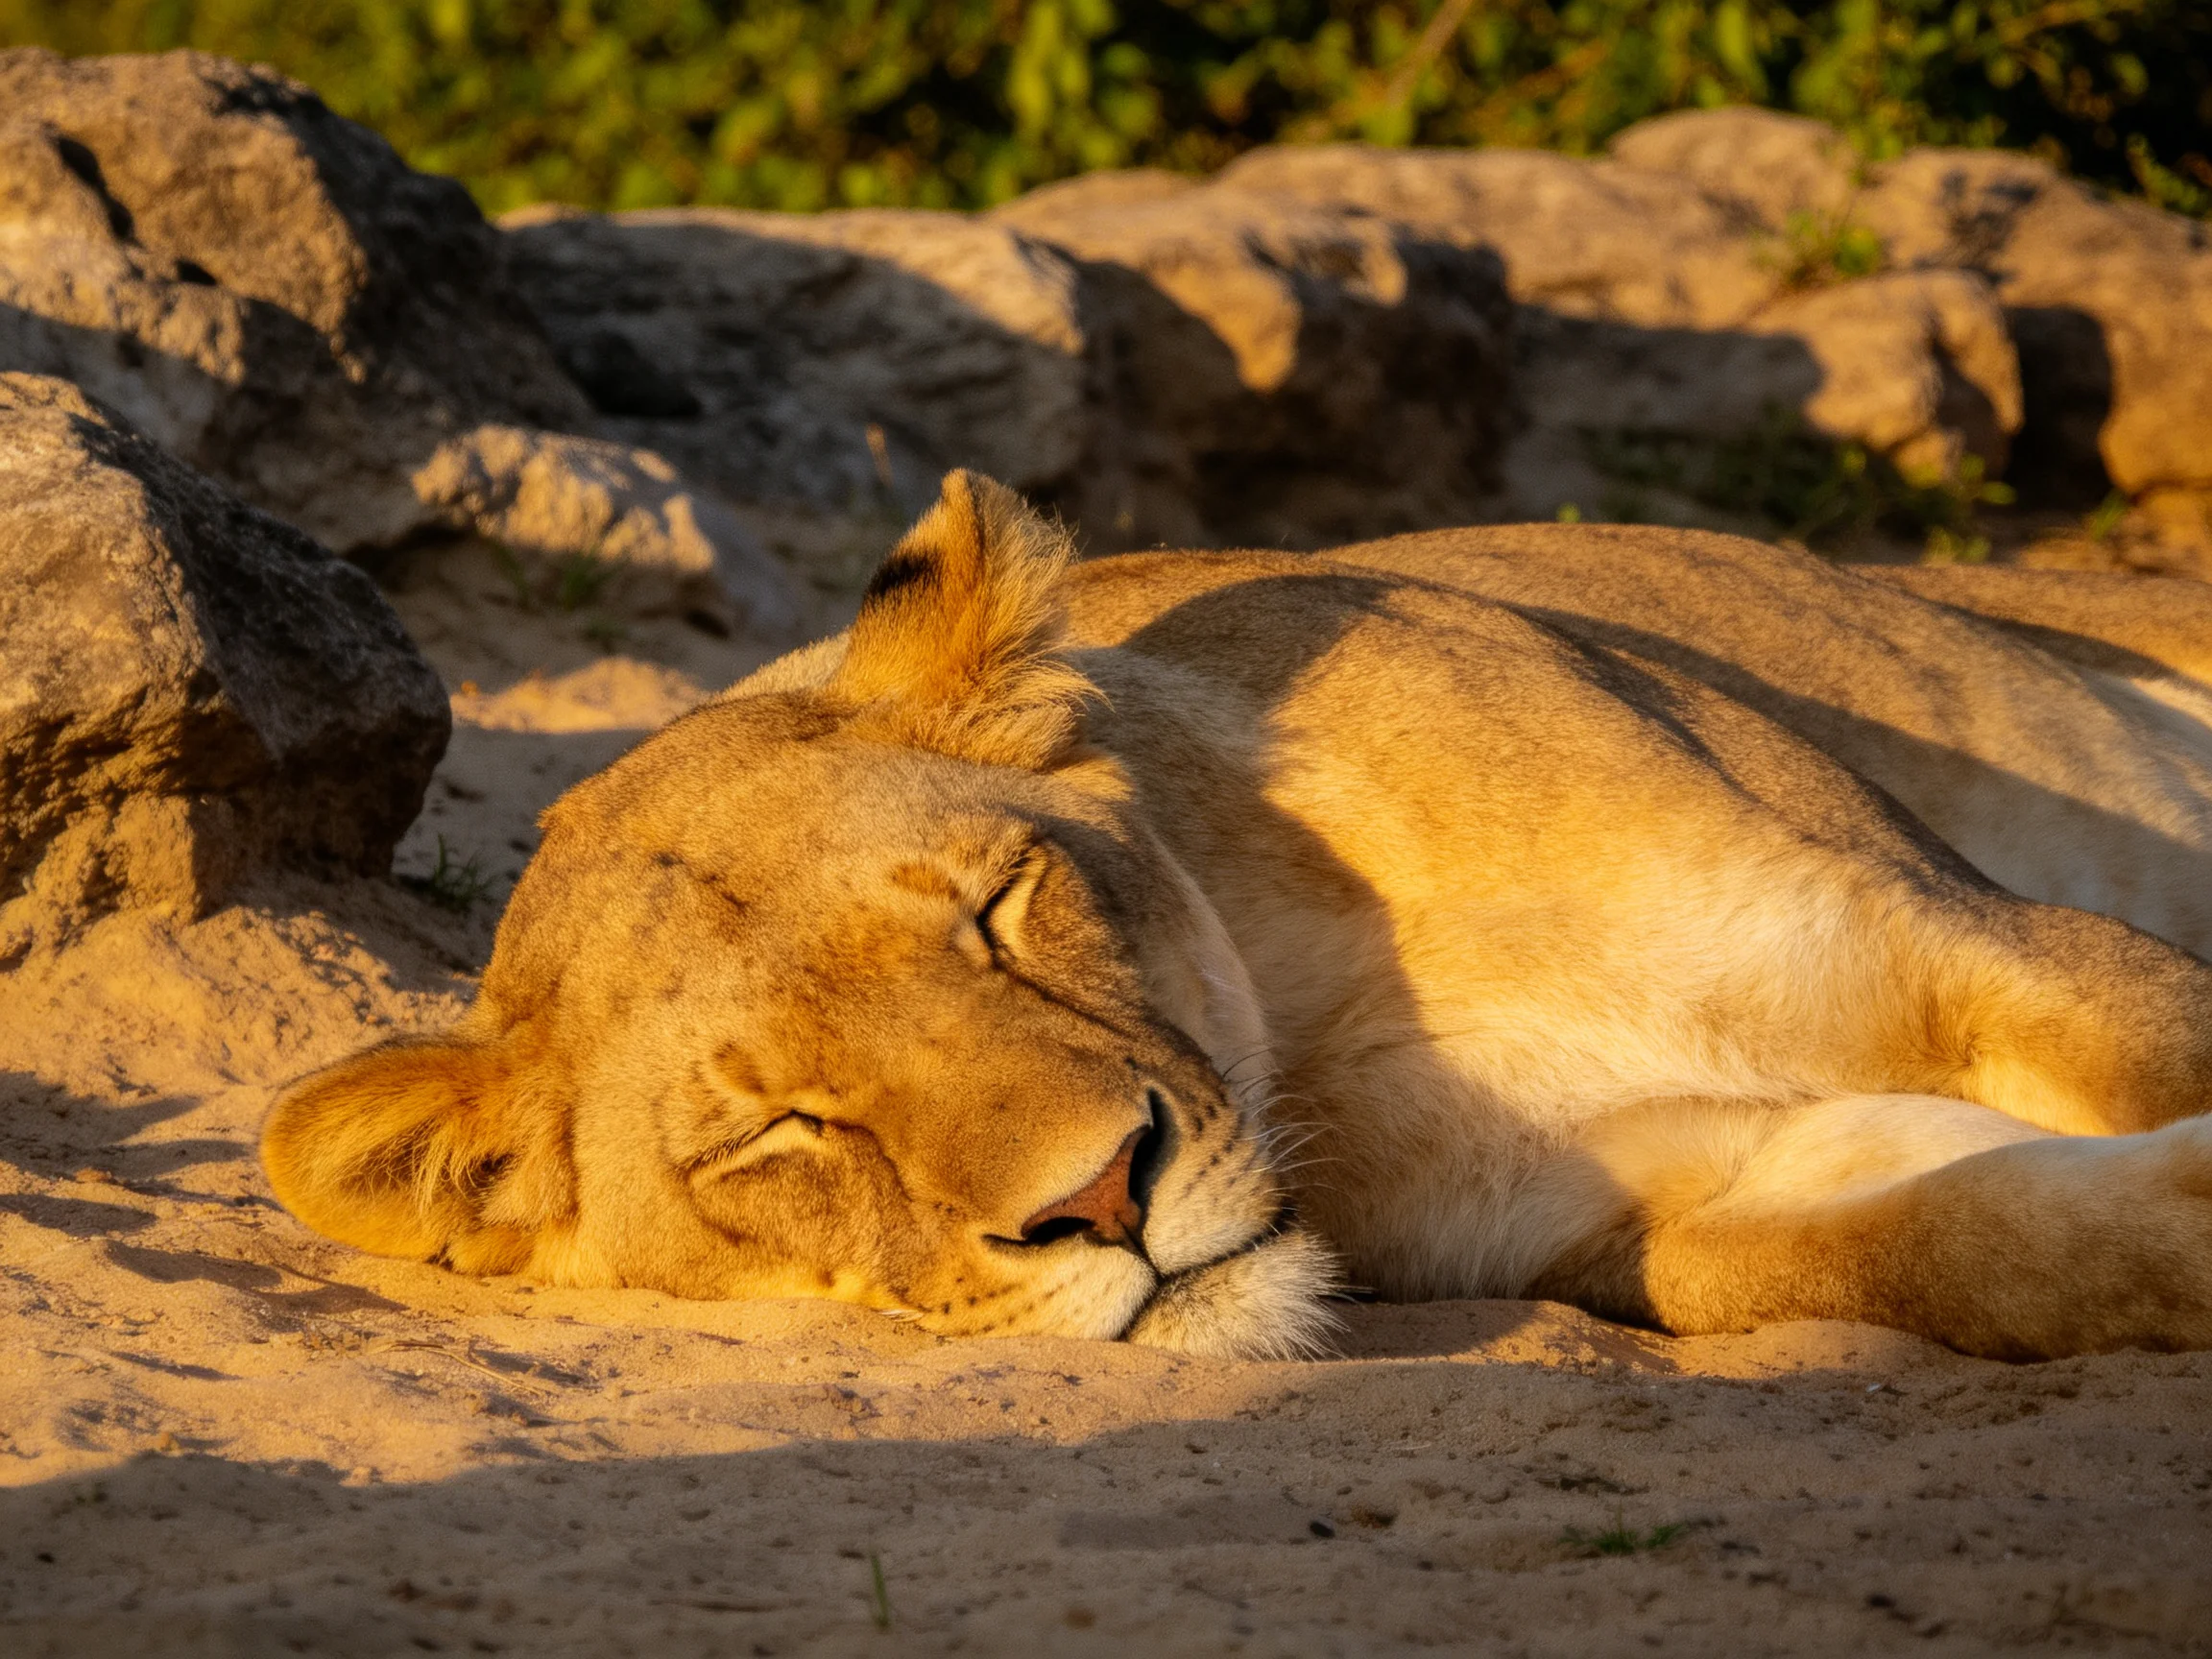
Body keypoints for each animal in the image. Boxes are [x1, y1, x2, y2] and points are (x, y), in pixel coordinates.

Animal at [264, 471, 2212, 1362]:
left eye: (998, 909)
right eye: (783, 1130)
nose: (1096, 1202)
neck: (1326, 1012)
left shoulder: (1953, 935)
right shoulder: (1672, 1194)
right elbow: (1977, 1241)